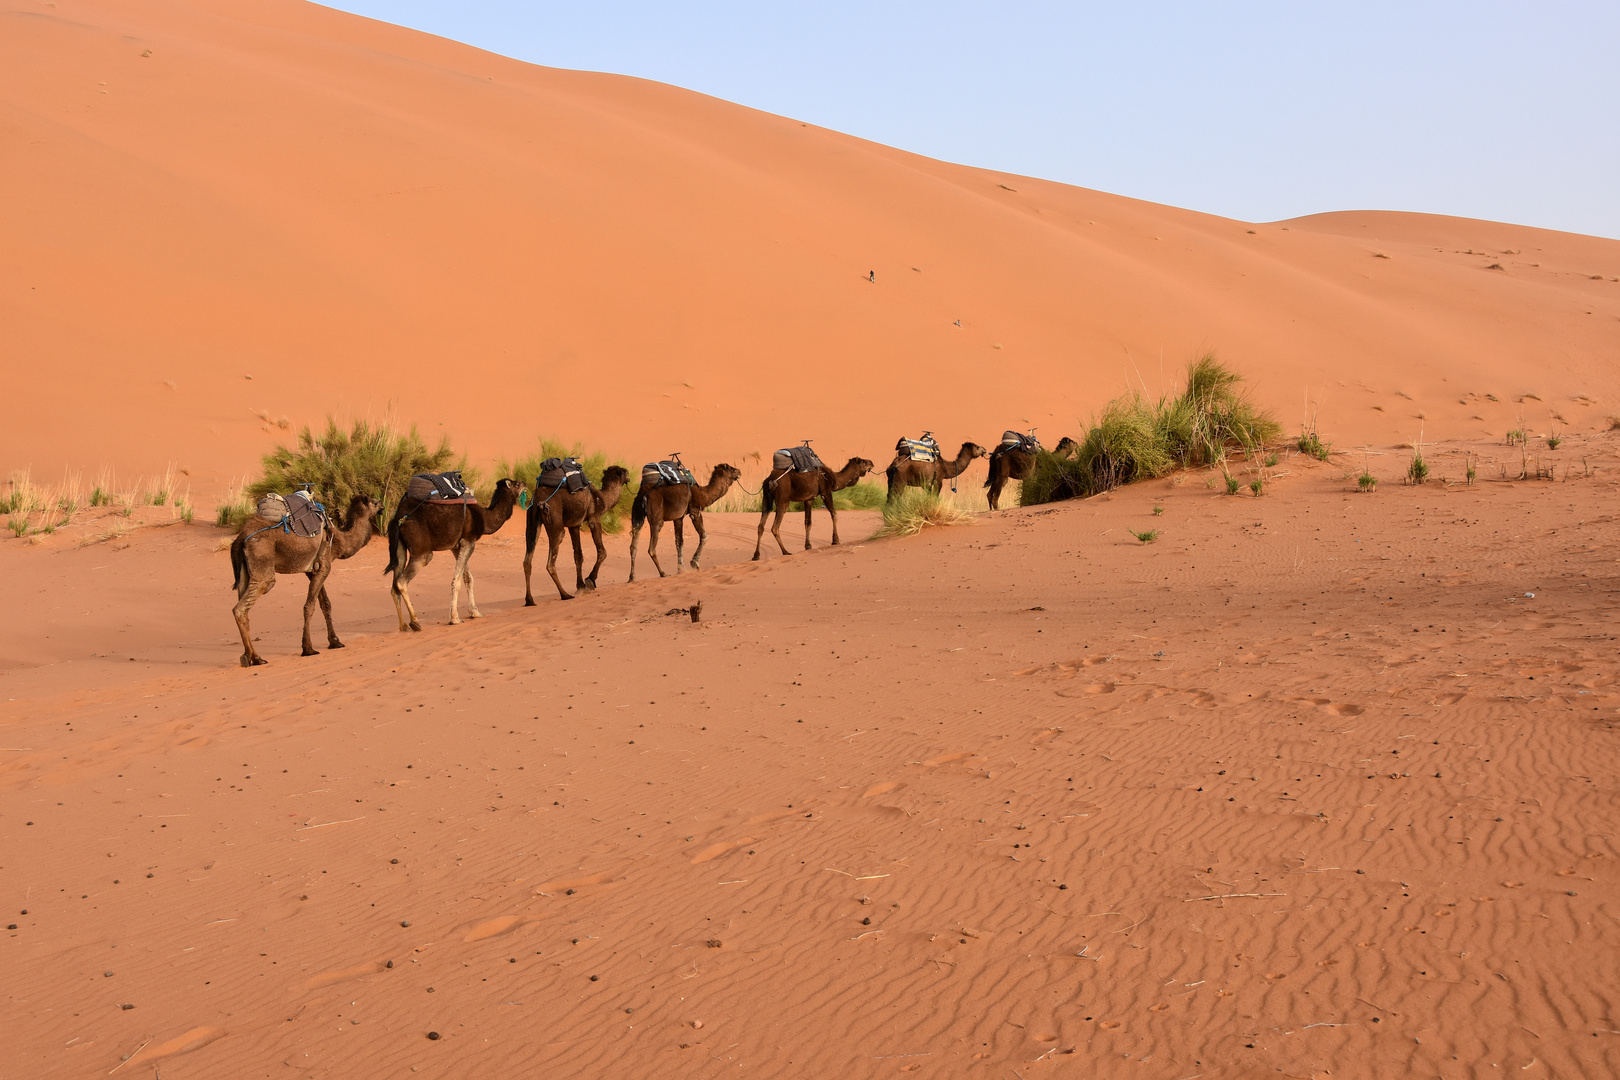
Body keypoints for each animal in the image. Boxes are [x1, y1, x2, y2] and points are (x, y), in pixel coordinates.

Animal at [228, 492, 382, 667]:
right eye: (375, 502)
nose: (382, 506)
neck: (340, 540)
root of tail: (241, 538)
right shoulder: (324, 565)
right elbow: (309, 606)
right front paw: (308, 648)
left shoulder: (312, 570)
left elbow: (325, 603)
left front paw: (335, 641)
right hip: (262, 565)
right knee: (241, 607)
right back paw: (255, 658)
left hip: (245, 572)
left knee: (244, 606)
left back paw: (250, 656)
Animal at [383, 476, 518, 628]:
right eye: (517, 484)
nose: (525, 484)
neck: (484, 517)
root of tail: (398, 519)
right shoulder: (468, 541)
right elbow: (457, 580)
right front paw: (454, 618)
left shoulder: (456, 546)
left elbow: (468, 578)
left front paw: (475, 612)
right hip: (421, 550)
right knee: (402, 581)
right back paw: (415, 622)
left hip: (399, 546)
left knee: (395, 582)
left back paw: (403, 626)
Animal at [528, 463, 635, 605]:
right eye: (625, 472)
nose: (629, 478)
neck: (602, 498)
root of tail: (538, 501)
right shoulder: (594, 519)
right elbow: (602, 551)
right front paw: (590, 581)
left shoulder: (574, 525)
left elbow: (578, 556)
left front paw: (580, 586)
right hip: (554, 519)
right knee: (550, 561)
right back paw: (565, 595)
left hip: (532, 520)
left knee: (527, 560)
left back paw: (529, 600)